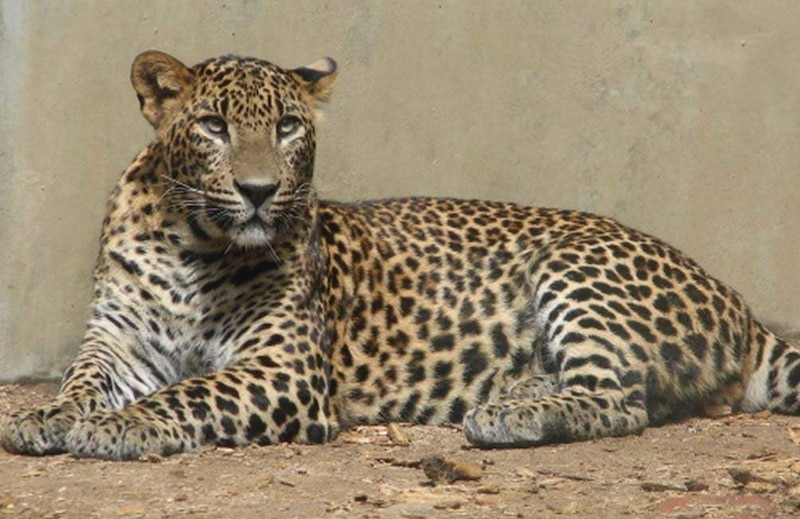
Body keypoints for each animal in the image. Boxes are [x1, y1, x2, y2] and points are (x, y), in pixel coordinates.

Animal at [1, 50, 800, 462]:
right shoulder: (120, 342)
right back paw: (510, 394)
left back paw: (510, 418)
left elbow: (194, 391)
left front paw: (121, 425)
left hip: (577, 267)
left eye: (288, 126)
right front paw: (48, 416)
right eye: (213, 126)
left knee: (622, 400)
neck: (190, 244)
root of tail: (739, 305)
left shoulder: (286, 370)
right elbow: (81, 378)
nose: (259, 192)